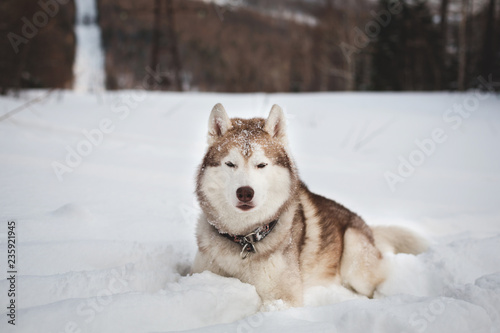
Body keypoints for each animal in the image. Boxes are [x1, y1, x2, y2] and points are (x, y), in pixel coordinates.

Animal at [191, 104, 426, 306]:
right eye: (230, 164)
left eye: (261, 165)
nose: (245, 192)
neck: (244, 238)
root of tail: (369, 229)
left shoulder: (283, 299)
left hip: (355, 255)